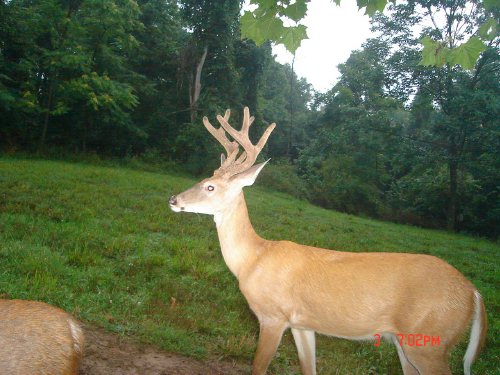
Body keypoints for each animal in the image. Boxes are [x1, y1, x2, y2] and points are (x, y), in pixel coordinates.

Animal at [167, 107, 484, 374]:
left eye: (210, 186)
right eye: (204, 179)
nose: (173, 199)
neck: (254, 260)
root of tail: (473, 293)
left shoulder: (273, 316)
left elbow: (258, 367)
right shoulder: (303, 324)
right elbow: (309, 368)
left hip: (431, 341)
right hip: (410, 343)